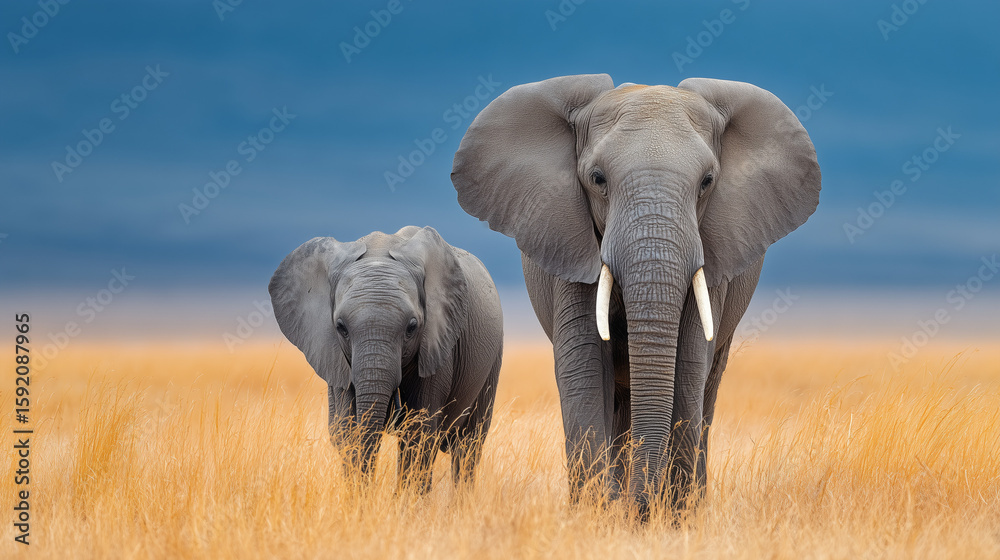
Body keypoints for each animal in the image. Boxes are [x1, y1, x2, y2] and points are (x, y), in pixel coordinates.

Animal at [268, 226, 503, 490]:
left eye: (412, 327)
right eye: (341, 328)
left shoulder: (439, 345)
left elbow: (418, 433)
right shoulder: (334, 355)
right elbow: (347, 430)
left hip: (493, 358)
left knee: (468, 444)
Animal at [451, 74, 821, 513]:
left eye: (707, 182)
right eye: (598, 179)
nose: (640, 507)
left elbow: (688, 364)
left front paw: (669, 516)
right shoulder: (570, 241)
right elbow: (585, 365)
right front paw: (597, 514)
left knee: (706, 389)